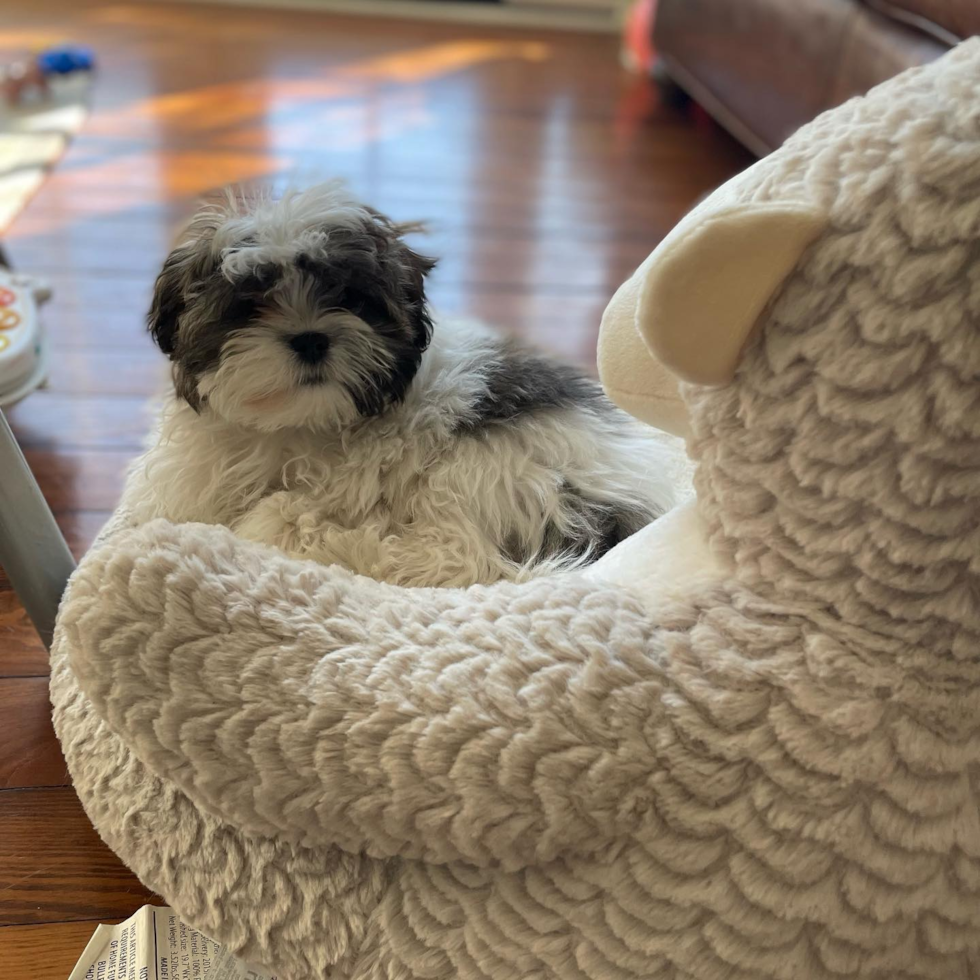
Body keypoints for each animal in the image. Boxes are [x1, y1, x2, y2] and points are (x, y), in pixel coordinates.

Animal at [122, 183, 684, 584]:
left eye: (351, 300)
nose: (310, 338)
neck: (295, 425)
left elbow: (283, 513)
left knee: (461, 559)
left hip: (481, 467)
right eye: (250, 305)